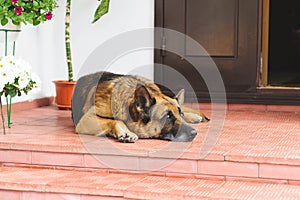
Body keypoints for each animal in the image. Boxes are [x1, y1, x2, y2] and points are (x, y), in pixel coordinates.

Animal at [71, 71, 210, 143]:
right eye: (167, 116)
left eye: (179, 114)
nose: (194, 133)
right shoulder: (86, 120)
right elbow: (116, 120)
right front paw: (126, 132)